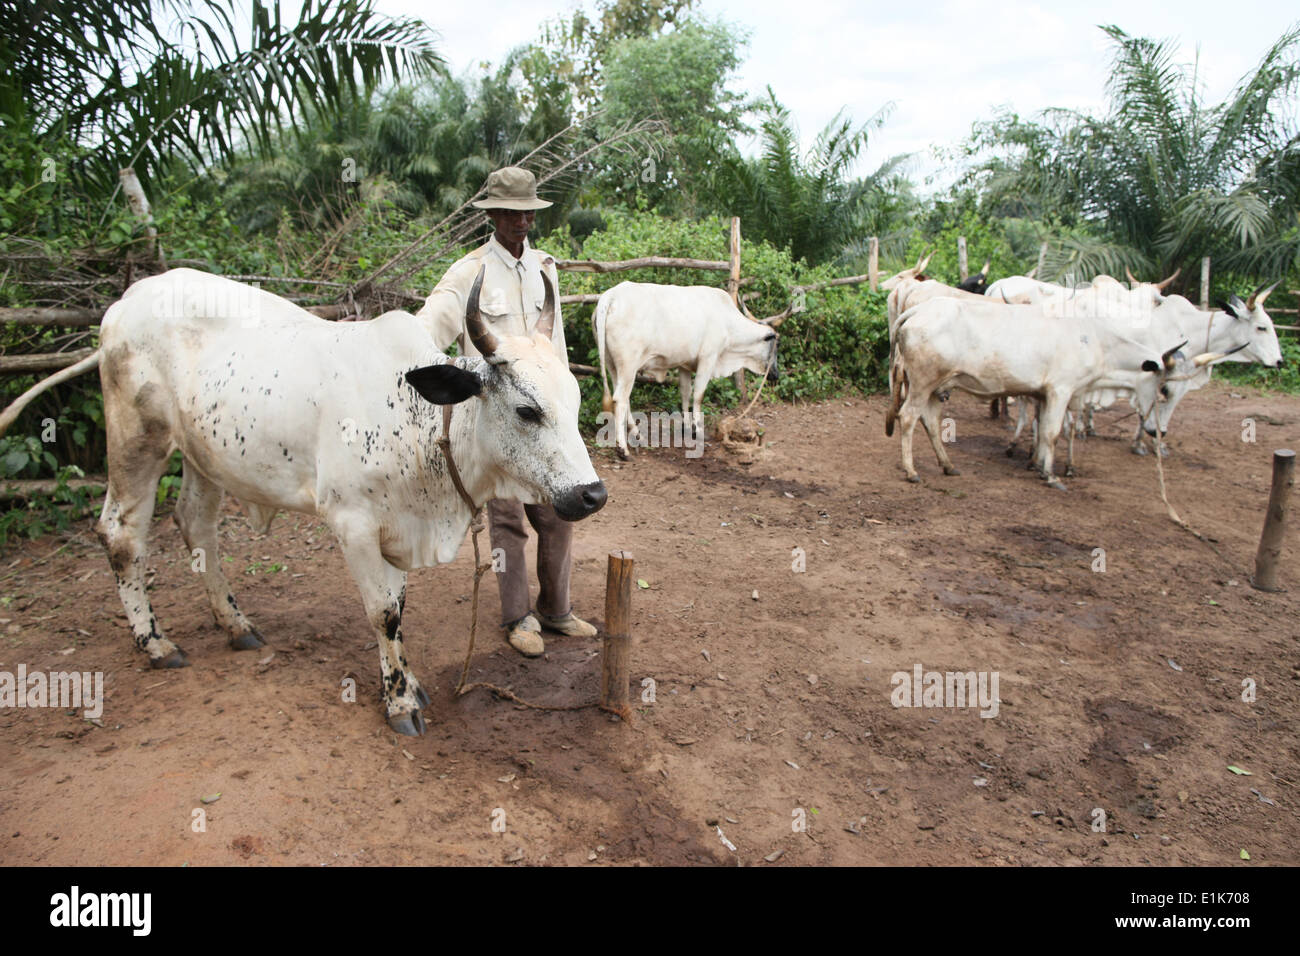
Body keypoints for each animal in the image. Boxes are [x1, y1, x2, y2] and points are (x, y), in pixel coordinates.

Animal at [95, 267, 606, 736]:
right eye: (527, 411)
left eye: (576, 402)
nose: (592, 494)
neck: (418, 424)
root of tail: (132, 295)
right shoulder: (353, 525)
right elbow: (383, 614)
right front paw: (399, 703)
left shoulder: (398, 529)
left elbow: (399, 609)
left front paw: (409, 683)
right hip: (136, 440)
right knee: (121, 535)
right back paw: (156, 643)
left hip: (203, 457)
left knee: (196, 526)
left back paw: (236, 625)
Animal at [593, 281, 780, 460]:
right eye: (775, 344)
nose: (776, 375)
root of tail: (611, 296)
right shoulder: (708, 358)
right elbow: (698, 395)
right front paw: (698, 430)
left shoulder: (684, 365)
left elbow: (685, 393)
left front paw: (687, 427)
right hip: (628, 366)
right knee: (620, 400)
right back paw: (623, 449)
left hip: (613, 365)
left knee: (624, 399)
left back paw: (637, 435)